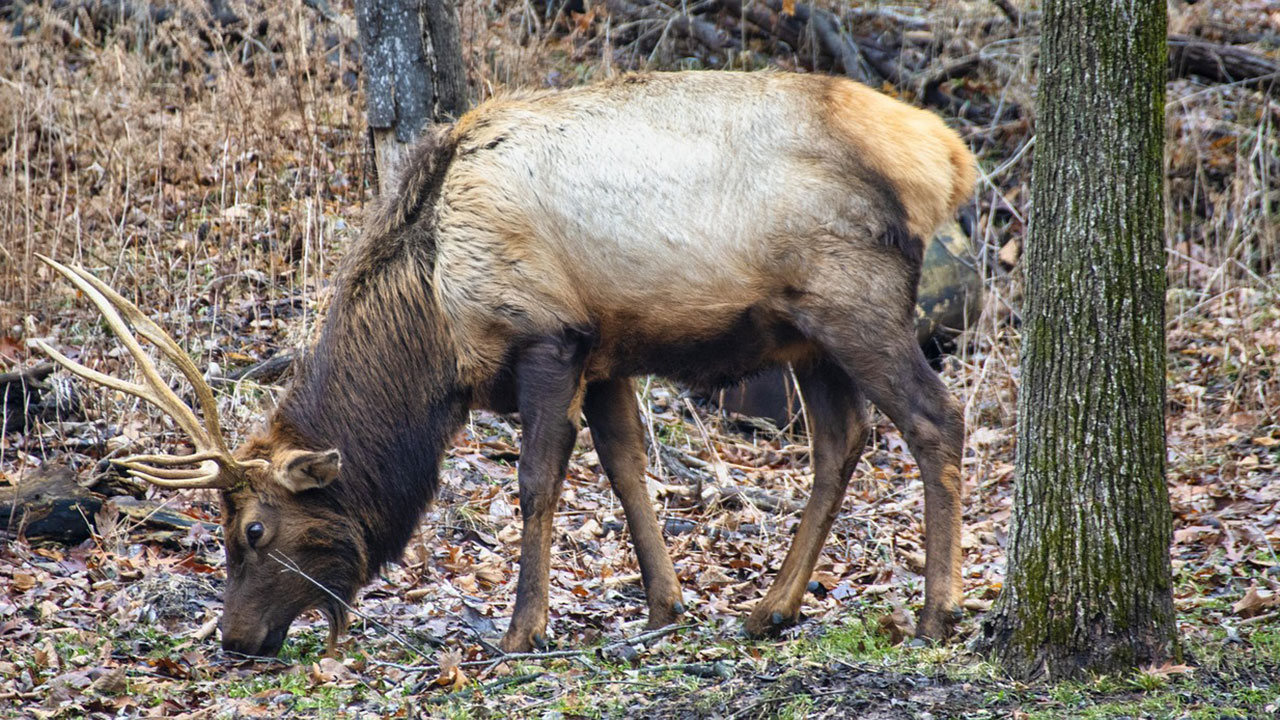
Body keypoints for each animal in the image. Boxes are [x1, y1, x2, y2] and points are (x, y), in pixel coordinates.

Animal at [38, 70, 975, 656]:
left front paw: (524, 630)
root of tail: (946, 159)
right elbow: (627, 470)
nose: (234, 639)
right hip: (806, 332)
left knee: (936, 418)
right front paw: (665, 606)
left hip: (853, 302)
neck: (435, 328)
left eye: (253, 532)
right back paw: (770, 611)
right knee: (841, 440)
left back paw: (936, 612)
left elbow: (537, 481)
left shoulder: (548, 334)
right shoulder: (605, 349)